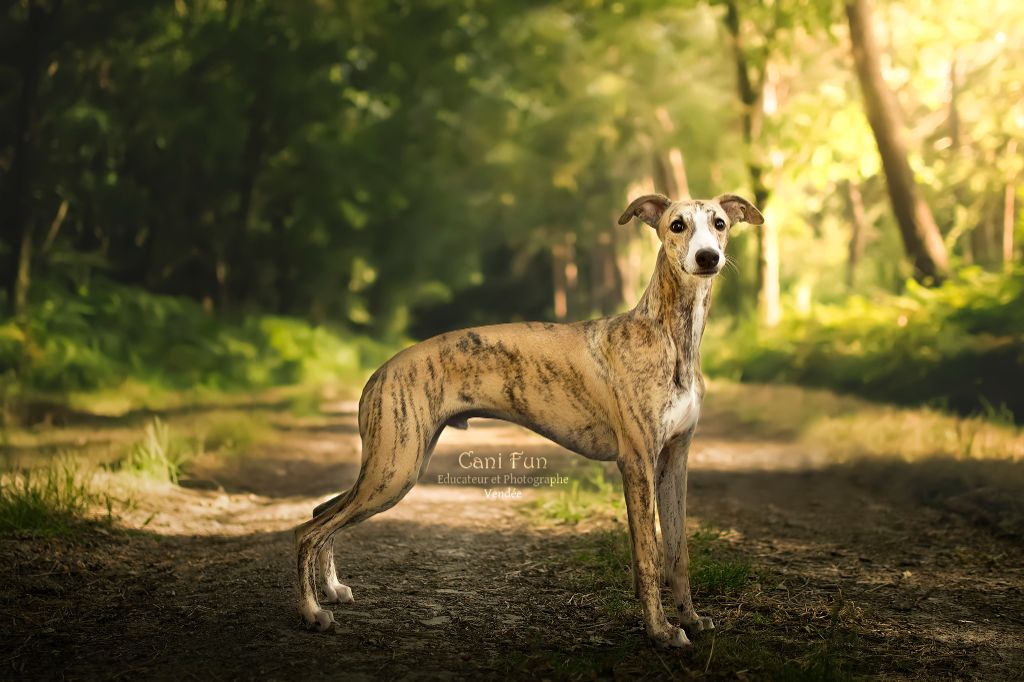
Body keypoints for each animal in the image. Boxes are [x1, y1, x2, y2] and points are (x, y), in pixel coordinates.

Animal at [294, 192, 761, 647]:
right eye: (677, 225)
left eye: (719, 223)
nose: (707, 258)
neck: (668, 336)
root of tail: (378, 373)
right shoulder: (637, 462)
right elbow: (648, 555)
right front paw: (660, 632)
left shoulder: (673, 461)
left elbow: (678, 553)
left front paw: (692, 620)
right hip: (394, 469)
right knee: (307, 530)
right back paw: (314, 613)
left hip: (394, 463)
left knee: (320, 510)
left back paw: (332, 589)